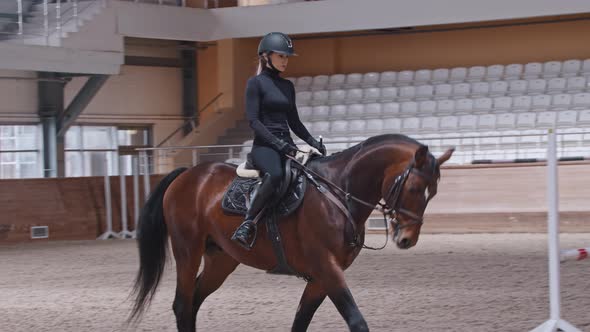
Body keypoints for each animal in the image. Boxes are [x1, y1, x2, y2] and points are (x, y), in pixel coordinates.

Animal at [128, 134, 454, 330]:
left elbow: (301, 321)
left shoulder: (322, 277)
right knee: (182, 304)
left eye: (434, 192)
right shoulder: (326, 268)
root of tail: (187, 174)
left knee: (193, 302)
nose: (407, 239)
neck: (338, 192)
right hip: (187, 250)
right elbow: (357, 322)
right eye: (414, 188)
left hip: (220, 260)